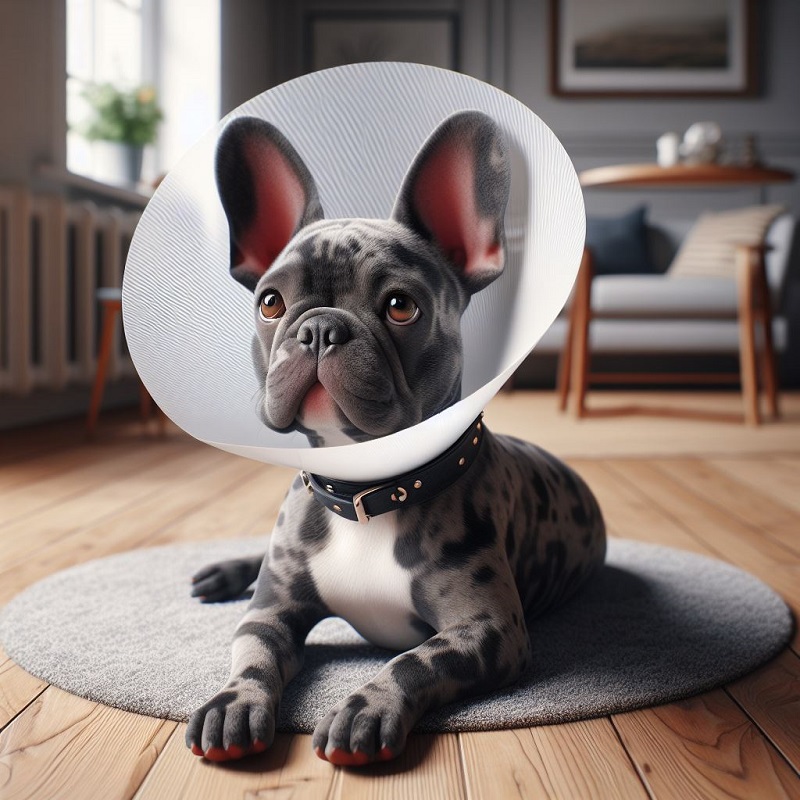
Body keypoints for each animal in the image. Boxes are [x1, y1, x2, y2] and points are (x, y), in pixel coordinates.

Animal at [188, 109, 608, 764]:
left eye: (400, 306)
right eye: (270, 302)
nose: (319, 329)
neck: (366, 490)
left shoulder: (486, 630)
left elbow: (415, 660)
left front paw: (364, 708)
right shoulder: (270, 613)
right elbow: (252, 657)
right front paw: (233, 703)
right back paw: (226, 572)